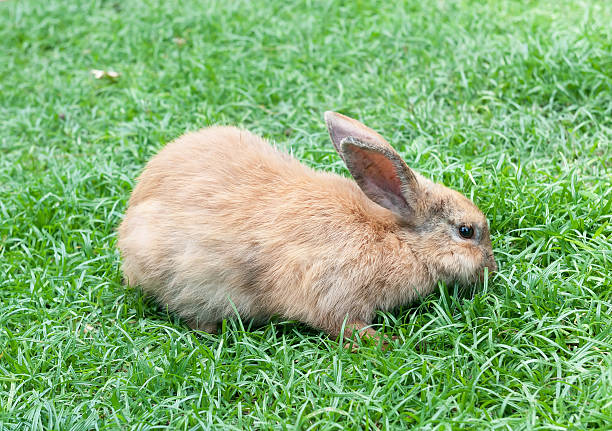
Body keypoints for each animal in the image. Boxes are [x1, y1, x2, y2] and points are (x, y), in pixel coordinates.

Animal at [116, 112, 498, 340]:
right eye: (466, 231)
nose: (491, 269)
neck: (399, 239)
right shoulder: (333, 295)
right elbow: (345, 326)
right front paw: (382, 343)